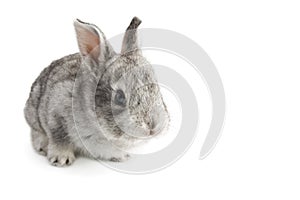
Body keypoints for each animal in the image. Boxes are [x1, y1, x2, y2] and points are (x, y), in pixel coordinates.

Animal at [24, 16, 169, 167]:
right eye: (119, 97)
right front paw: (61, 158)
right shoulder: (56, 114)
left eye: (156, 89)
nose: (154, 126)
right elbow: (59, 138)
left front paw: (121, 157)